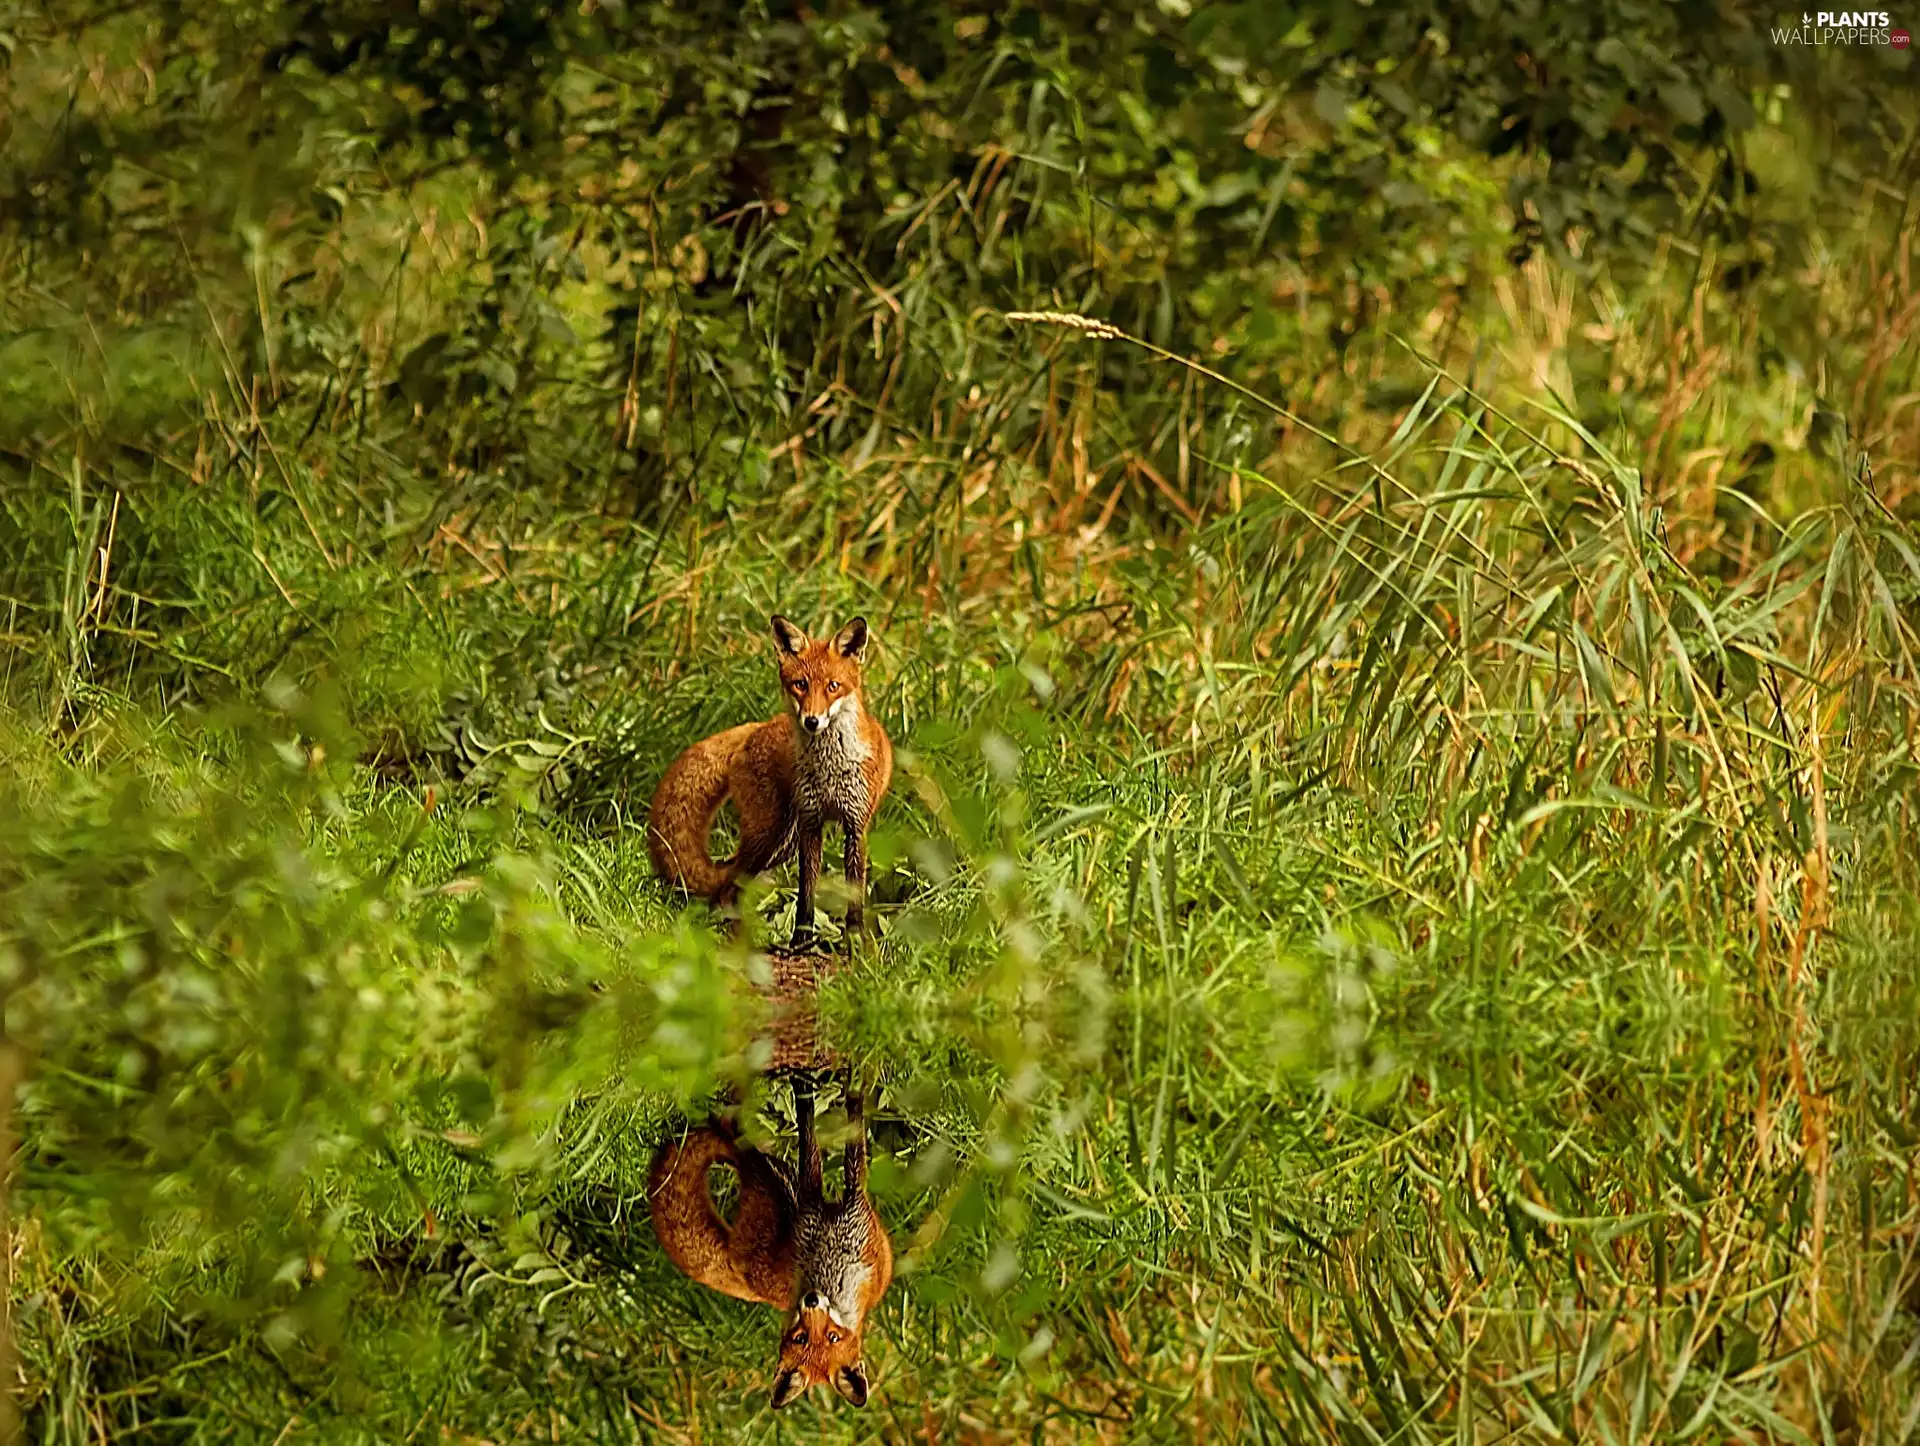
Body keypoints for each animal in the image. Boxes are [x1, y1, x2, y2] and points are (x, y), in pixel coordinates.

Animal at [647, 615, 893, 945]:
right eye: (800, 684)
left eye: (833, 686)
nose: (812, 721)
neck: (829, 767)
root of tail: (758, 727)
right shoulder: (811, 823)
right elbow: (806, 894)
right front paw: (801, 941)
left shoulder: (854, 825)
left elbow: (852, 897)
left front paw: (854, 942)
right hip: (770, 834)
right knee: (728, 887)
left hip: (782, 841)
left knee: (729, 885)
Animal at [647, 1077, 894, 1410]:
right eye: (801, 1338)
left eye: (832, 1337)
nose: (811, 1301)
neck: (829, 1264)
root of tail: (751, 1285)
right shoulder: (816, 1207)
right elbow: (815, 1137)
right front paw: (824, 1085)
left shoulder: (850, 1214)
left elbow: (842, 1140)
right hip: (777, 1193)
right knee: (744, 1143)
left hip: (778, 1188)